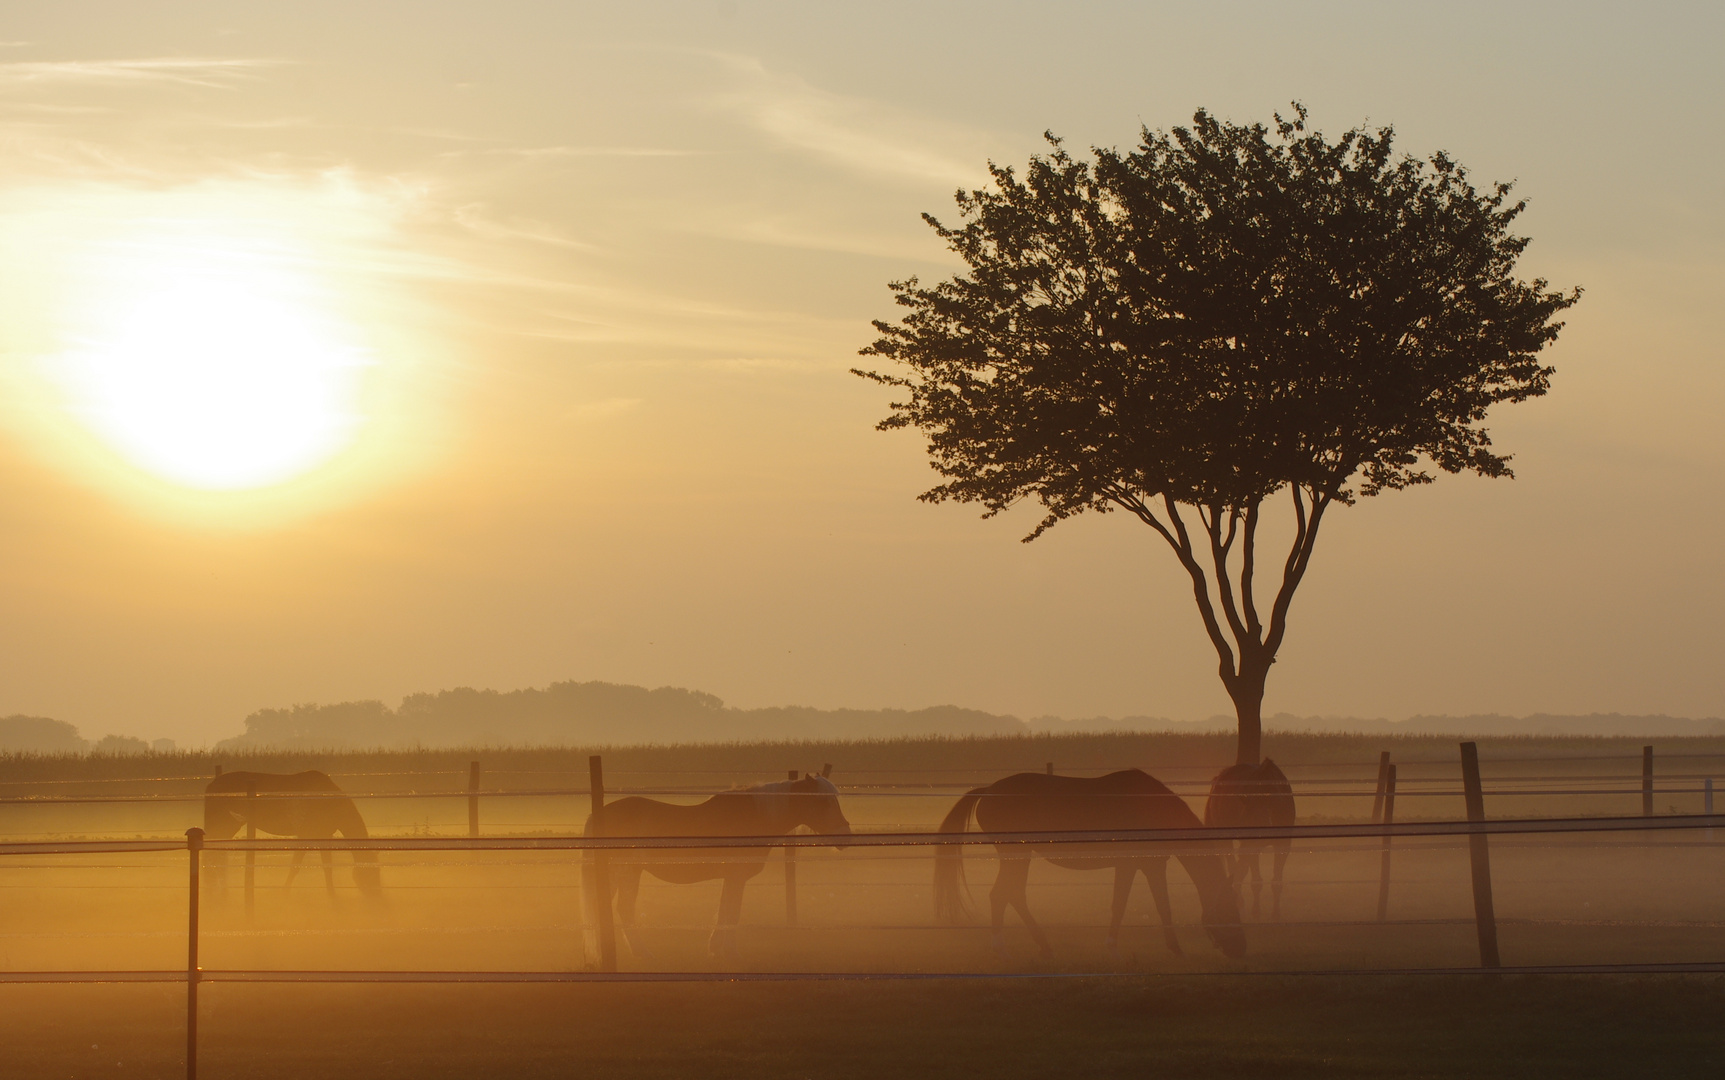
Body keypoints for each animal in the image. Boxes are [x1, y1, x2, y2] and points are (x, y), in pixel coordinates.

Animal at [201, 769, 381, 897]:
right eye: (371, 874)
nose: (376, 896)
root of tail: (210, 786)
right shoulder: (306, 835)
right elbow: (297, 866)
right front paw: (286, 892)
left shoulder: (323, 836)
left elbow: (325, 867)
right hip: (224, 826)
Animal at [938, 769, 1248, 952]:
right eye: (1229, 910)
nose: (1241, 950)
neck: (1153, 806)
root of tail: (987, 790)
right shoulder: (1131, 864)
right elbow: (1122, 904)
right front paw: (1112, 945)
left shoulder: (1151, 864)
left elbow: (1162, 905)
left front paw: (1174, 949)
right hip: (1016, 856)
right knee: (1003, 894)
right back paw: (1005, 945)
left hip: (1018, 857)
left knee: (1010, 894)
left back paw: (1038, 943)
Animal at [1200, 755, 1297, 917]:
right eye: (1244, 815)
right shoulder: (1252, 847)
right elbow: (1256, 881)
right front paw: (1256, 913)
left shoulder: (1282, 845)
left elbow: (1276, 881)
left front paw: (1275, 914)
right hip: (1226, 841)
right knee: (1233, 866)